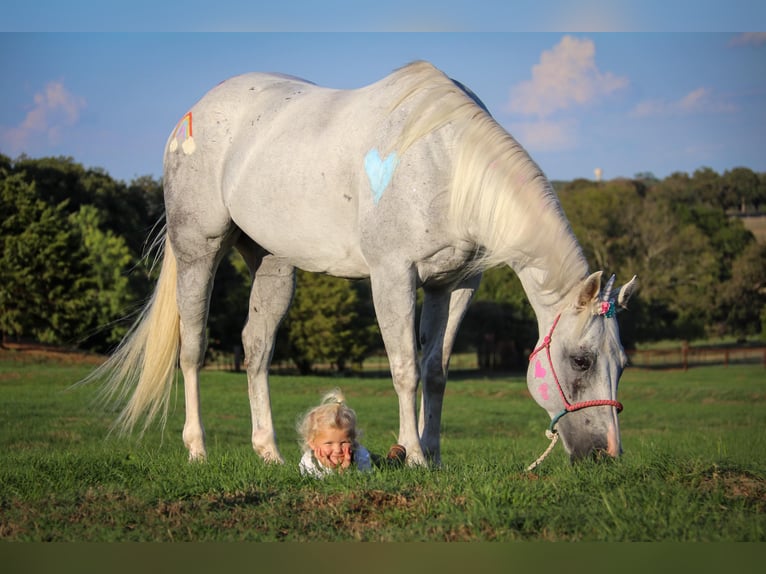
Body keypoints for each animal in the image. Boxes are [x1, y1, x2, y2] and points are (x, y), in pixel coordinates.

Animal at [90, 62, 640, 468]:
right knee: (193, 347)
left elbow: (435, 370)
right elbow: (404, 369)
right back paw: (197, 448)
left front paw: (434, 455)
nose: (606, 455)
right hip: (198, 249)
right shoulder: (393, 275)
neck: (445, 163)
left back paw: (269, 452)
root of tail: (195, 111)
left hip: (272, 263)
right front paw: (413, 455)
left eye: (622, 363)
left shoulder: (454, 284)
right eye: (581, 361)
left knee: (256, 348)